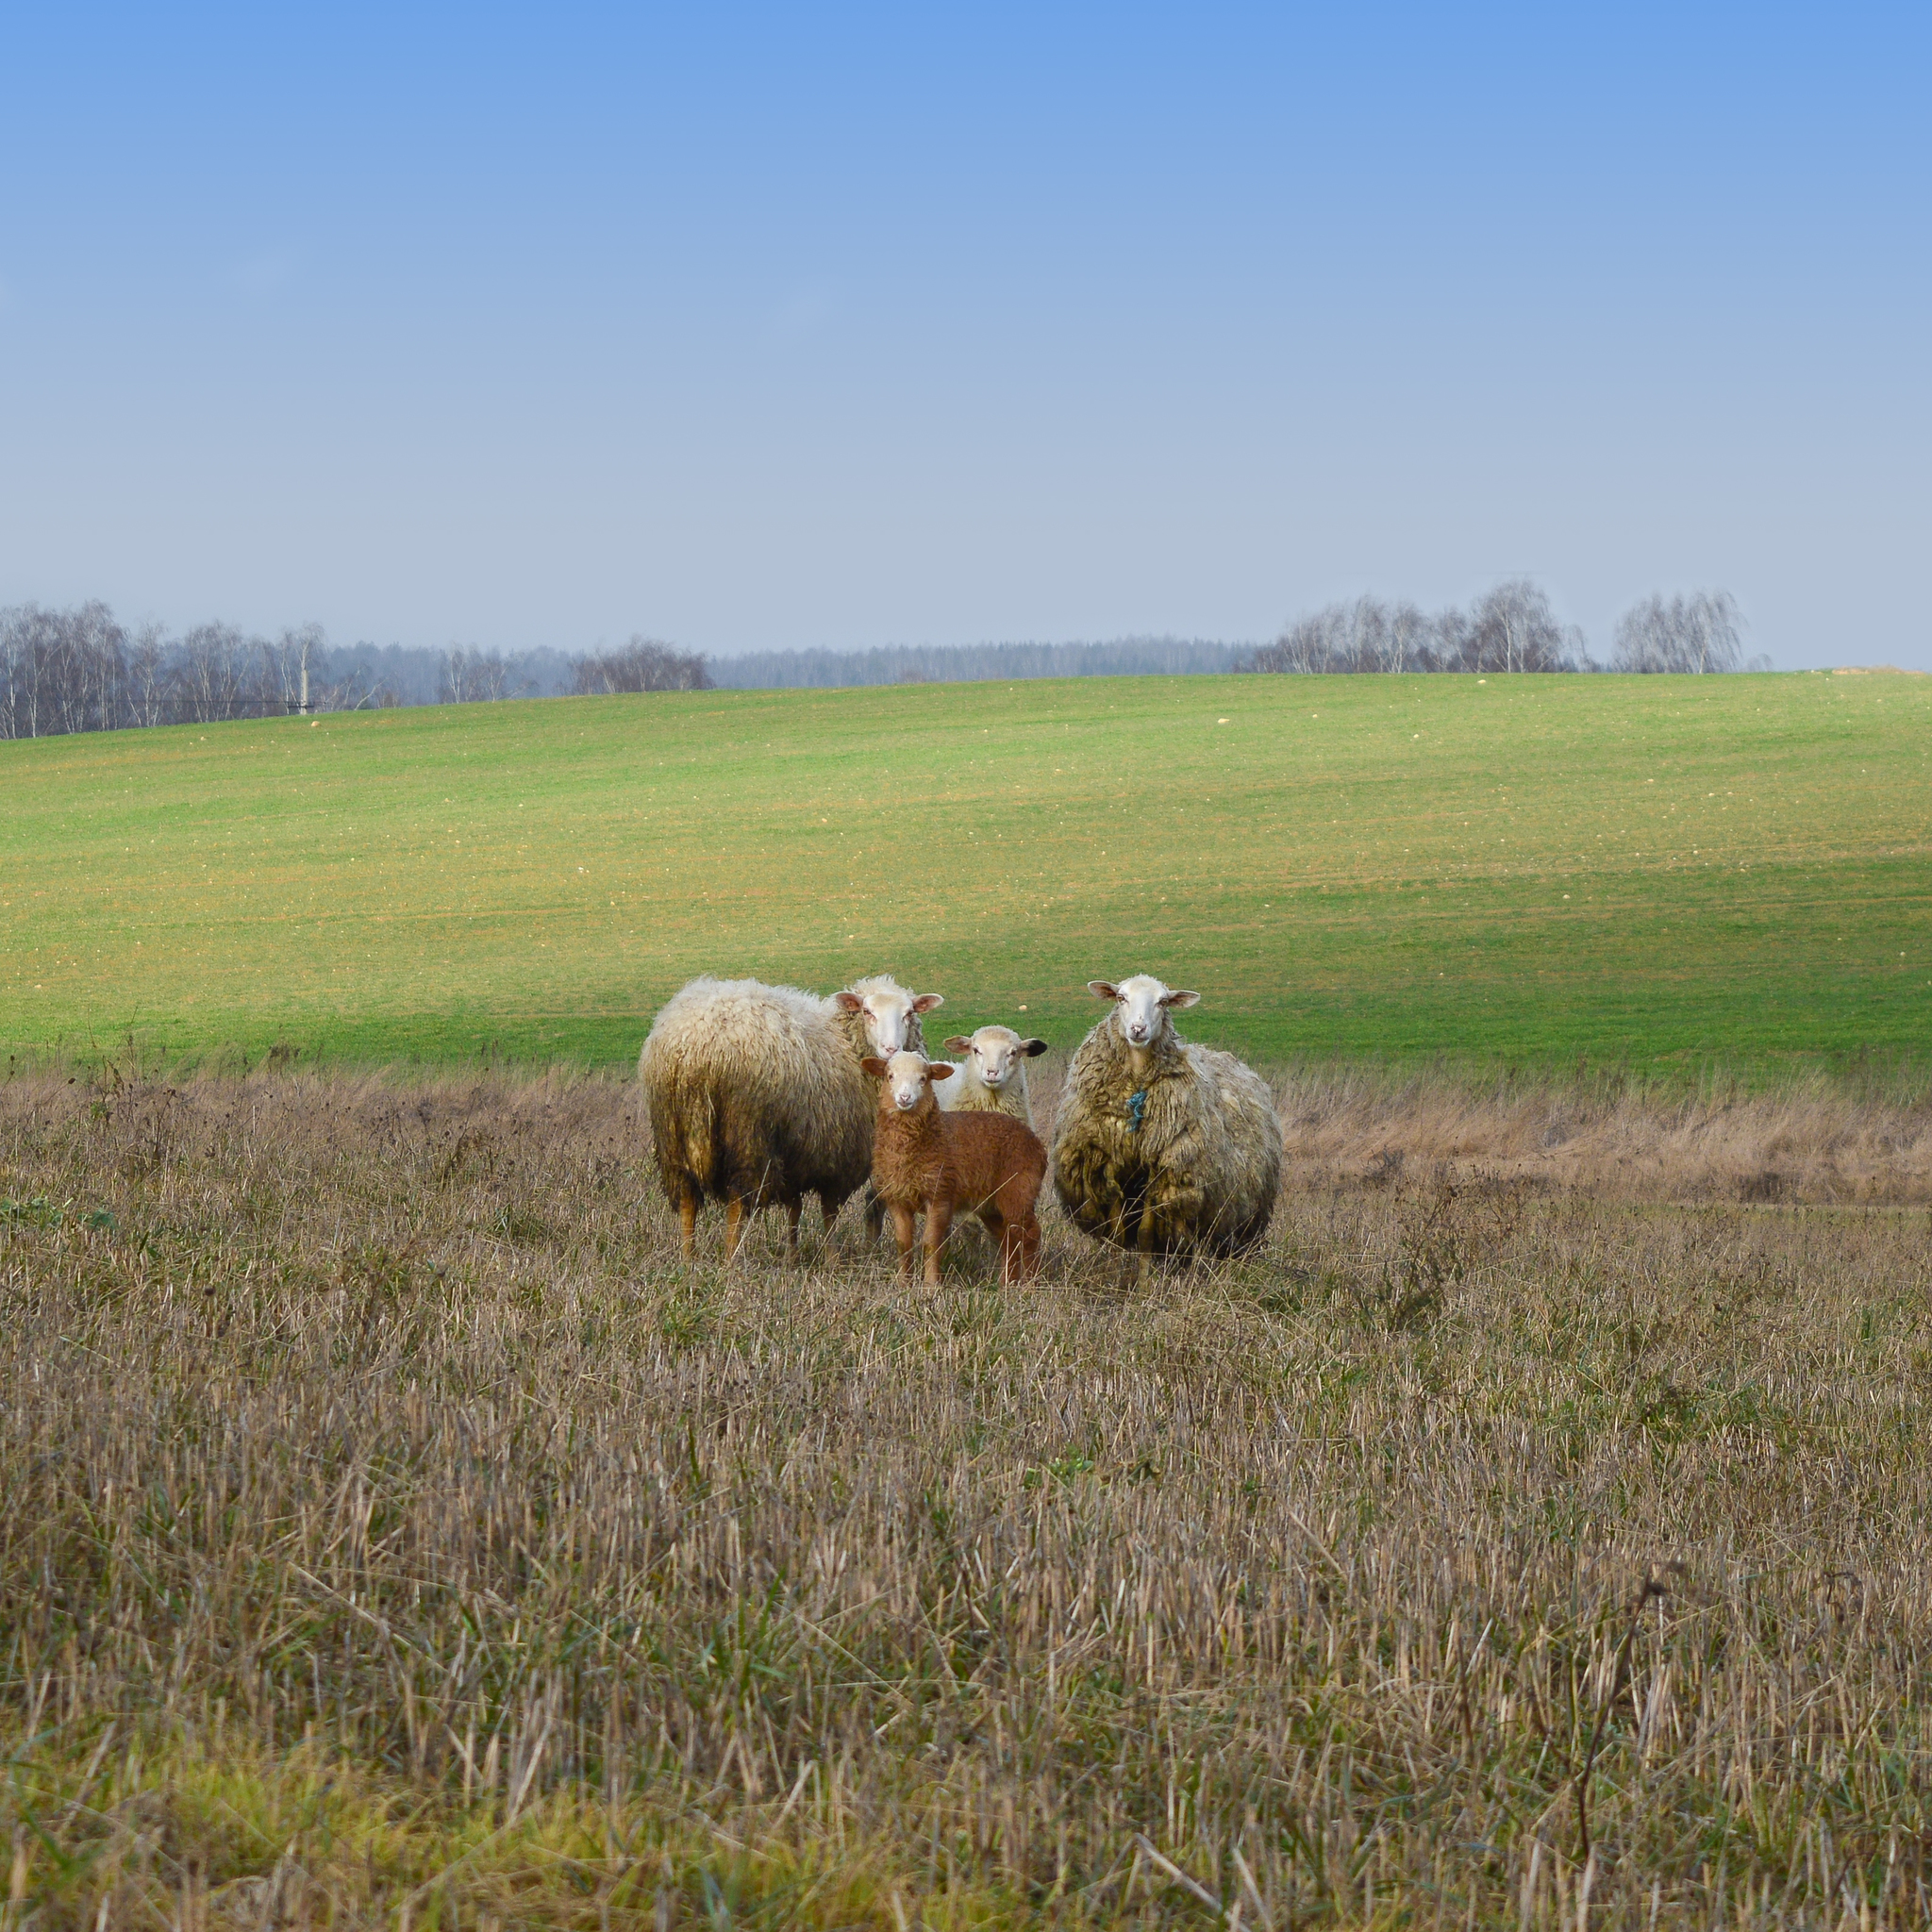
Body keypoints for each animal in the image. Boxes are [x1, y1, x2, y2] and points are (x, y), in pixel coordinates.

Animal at [641, 974, 942, 1259]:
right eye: (867, 1012)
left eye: (909, 1013)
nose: (891, 1050)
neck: (846, 1043)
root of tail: (695, 1049)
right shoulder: (836, 1153)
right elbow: (829, 1210)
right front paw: (832, 1259)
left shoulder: (799, 1152)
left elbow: (794, 1208)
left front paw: (793, 1257)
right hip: (746, 1134)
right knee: (737, 1200)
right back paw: (731, 1260)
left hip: (672, 1133)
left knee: (687, 1197)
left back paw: (688, 1258)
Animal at [858, 1058, 1042, 1282]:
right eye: (889, 1076)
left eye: (923, 1079)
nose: (904, 1097)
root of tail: (1038, 1145)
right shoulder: (898, 1198)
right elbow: (903, 1244)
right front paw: (904, 1284)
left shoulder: (940, 1195)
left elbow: (931, 1244)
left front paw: (931, 1285)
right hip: (992, 1204)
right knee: (1009, 1238)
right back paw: (1008, 1283)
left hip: (1019, 1190)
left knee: (1031, 1234)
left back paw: (1030, 1283)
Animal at [1051, 974, 1274, 1274]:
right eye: (1120, 997)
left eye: (1163, 1001)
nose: (1138, 1029)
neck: (1136, 1084)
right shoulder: (1108, 1168)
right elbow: (1117, 1233)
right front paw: (1116, 1271)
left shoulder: (1163, 1174)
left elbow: (1146, 1234)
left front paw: (1144, 1280)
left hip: (1241, 1212)